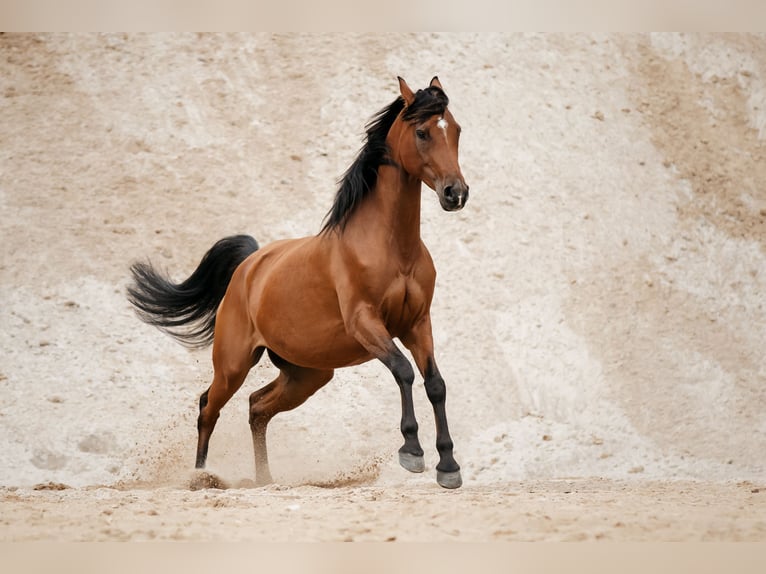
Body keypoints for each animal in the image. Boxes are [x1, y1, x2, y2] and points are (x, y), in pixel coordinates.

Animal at [127, 75, 468, 490]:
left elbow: (435, 383)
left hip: (307, 374)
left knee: (257, 406)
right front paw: (412, 452)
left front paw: (448, 466)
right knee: (209, 406)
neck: (391, 248)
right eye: (421, 132)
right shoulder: (366, 323)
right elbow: (403, 370)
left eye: (456, 130)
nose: (456, 193)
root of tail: (249, 266)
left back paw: (264, 480)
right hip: (233, 364)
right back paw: (201, 477)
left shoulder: (417, 324)